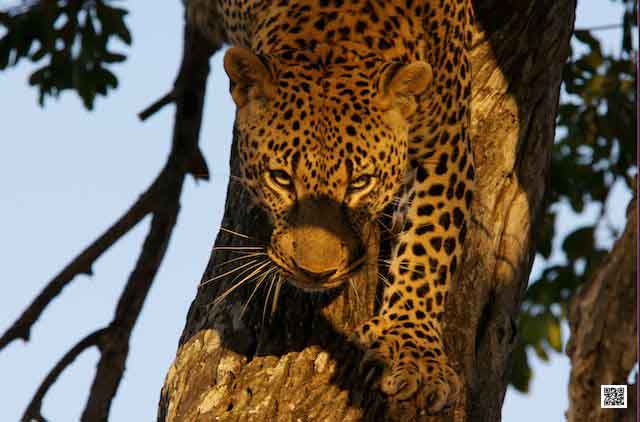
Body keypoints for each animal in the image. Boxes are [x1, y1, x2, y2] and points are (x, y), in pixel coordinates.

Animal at [187, 0, 475, 414]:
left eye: (360, 183)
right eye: (281, 179)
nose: (315, 273)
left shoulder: (446, 145)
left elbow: (431, 244)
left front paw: (412, 350)